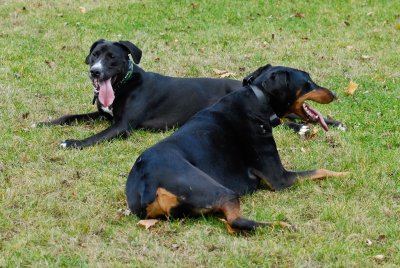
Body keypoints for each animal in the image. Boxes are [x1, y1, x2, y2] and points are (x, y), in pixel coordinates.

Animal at [36, 39, 344, 149]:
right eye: (95, 55)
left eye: (112, 58)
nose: (95, 72)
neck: (125, 84)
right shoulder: (104, 115)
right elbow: (69, 116)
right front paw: (43, 123)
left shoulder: (122, 126)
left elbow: (95, 137)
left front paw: (73, 143)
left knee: (290, 119)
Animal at [126, 64, 348, 232]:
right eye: (307, 82)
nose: (335, 94)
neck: (257, 102)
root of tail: (148, 184)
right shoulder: (280, 178)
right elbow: (320, 170)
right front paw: (345, 173)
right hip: (215, 189)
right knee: (235, 222)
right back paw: (281, 225)